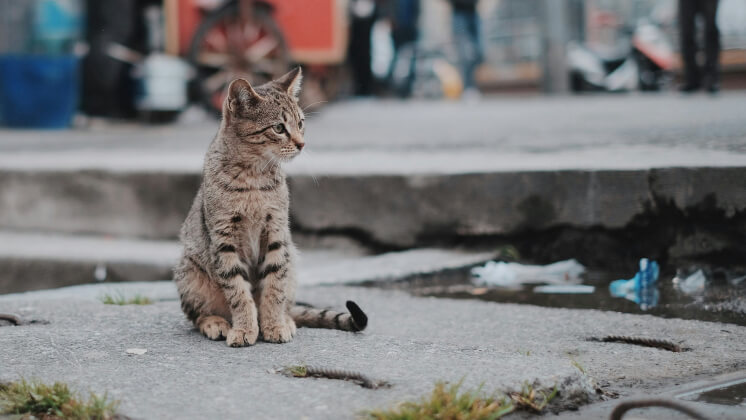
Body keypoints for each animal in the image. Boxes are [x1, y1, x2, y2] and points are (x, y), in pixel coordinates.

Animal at [174, 67, 366, 346]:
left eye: (301, 123)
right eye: (278, 128)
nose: (301, 144)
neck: (253, 177)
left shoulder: (277, 232)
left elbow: (275, 287)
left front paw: (274, 325)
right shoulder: (223, 240)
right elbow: (238, 292)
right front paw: (244, 328)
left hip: (292, 260)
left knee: (288, 301)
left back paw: (285, 319)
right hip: (189, 272)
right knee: (197, 314)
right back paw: (216, 322)